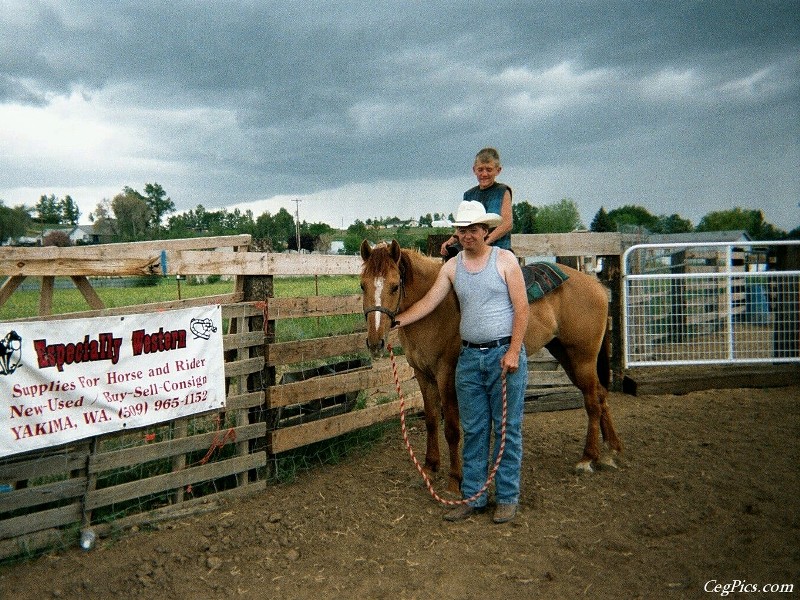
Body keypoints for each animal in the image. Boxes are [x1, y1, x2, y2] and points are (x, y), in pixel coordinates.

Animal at [360, 239, 620, 492]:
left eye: (395, 286)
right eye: (363, 286)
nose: (375, 342)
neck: (434, 308)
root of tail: (596, 286)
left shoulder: (447, 375)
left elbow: (451, 428)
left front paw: (455, 480)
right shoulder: (423, 375)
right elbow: (432, 421)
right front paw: (430, 468)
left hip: (582, 359)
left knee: (592, 401)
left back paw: (588, 458)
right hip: (567, 356)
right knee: (600, 394)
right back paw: (611, 450)